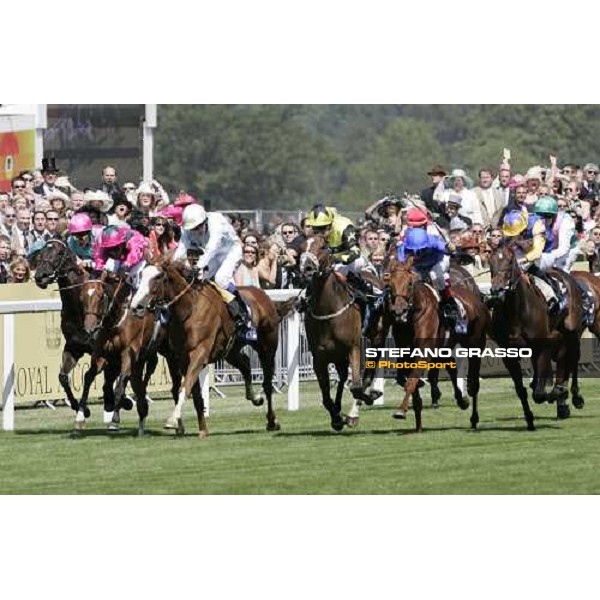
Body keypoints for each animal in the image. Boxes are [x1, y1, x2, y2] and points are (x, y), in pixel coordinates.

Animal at [128, 258, 286, 436]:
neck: (189, 309)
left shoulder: (199, 354)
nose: (136, 306)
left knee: (267, 383)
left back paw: (272, 421)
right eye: (141, 275)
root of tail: (263, 295)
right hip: (230, 350)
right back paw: (255, 398)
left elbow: (184, 387)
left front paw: (173, 420)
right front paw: (202, 429)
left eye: (158, 277)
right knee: (245, 364)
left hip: (267, 347)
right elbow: (194, 392)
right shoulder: (182, 358)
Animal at [490, 241, 584, 420]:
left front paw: (555, 392)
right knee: (563, 361)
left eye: (510, 261)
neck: (516, 310)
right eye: (490, 262)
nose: (497, 290)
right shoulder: (509, 354)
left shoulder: (542, 346)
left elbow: (540, 394)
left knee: (573, 360)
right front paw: (529, 416)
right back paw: (562, 403)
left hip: (572, 331)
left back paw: (573, 396)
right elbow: (521, 390)